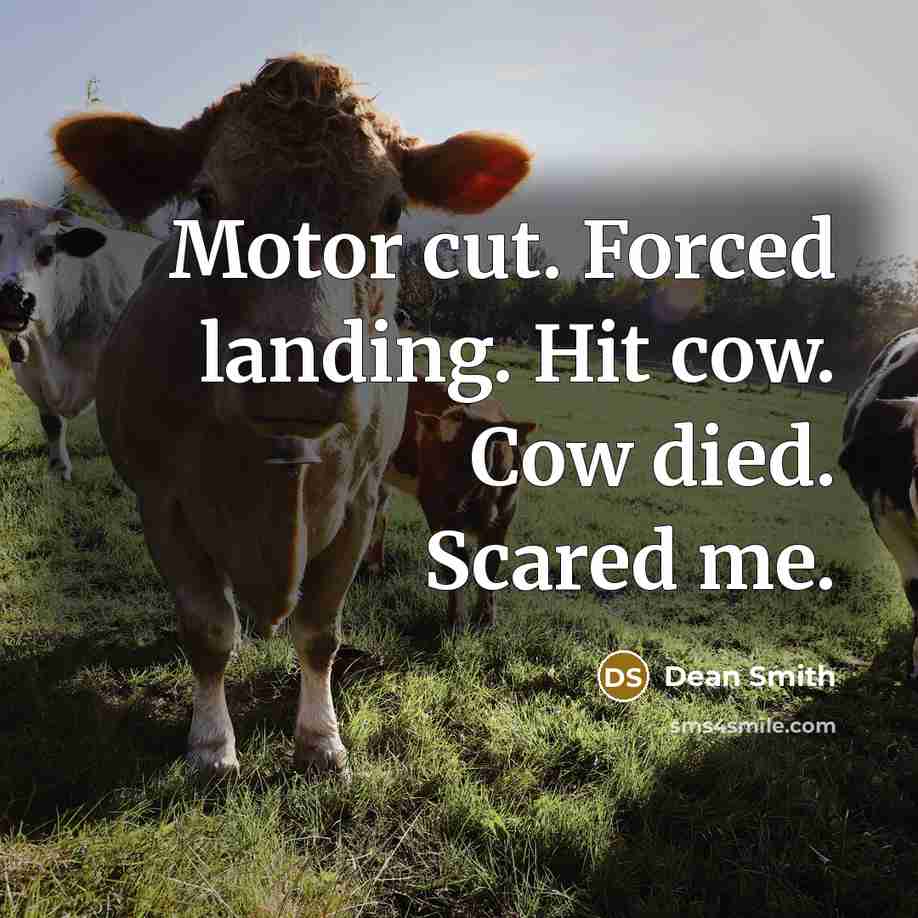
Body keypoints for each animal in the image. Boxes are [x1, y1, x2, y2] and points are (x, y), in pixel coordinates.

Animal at [365, 378, 536, 629]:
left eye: (474, 454)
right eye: (434, 451)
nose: (447, 501)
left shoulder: (506, 512)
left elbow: (491, 562)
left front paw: (486, 619)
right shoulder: (436, 511)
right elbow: (455, 563)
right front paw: (456, 620)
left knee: (378, 513)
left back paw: (375, 568)